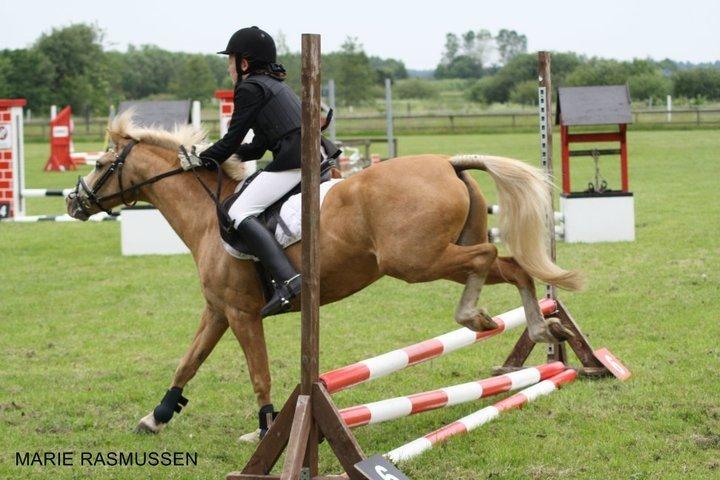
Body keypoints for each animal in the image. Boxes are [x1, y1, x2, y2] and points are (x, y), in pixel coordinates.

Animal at [67, 112, 584, 438]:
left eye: (100, 164)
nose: (74, 202)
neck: (207, 216)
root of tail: (447, 163)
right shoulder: (218, 311)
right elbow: (188, 362)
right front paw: (156, 417)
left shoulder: (241, 314)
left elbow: (259, 374)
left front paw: (264, 428)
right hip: (439, 254)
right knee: (512, 266)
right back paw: (540, 328)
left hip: (416, 261)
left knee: (487, 254)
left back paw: (476, 316)